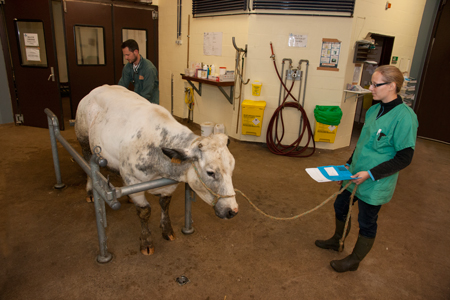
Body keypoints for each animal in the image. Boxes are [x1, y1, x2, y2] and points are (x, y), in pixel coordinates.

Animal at [75, 84, 239, 255]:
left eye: (232, 168)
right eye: (210, 172)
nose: (233, 210)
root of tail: (100, 87)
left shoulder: (169, 184)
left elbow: (165, 204)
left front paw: (167, 230)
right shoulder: (133, 179)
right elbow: (144, 211)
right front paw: (146, 241)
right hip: (83, 139)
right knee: (87, 165)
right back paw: (90, 191)